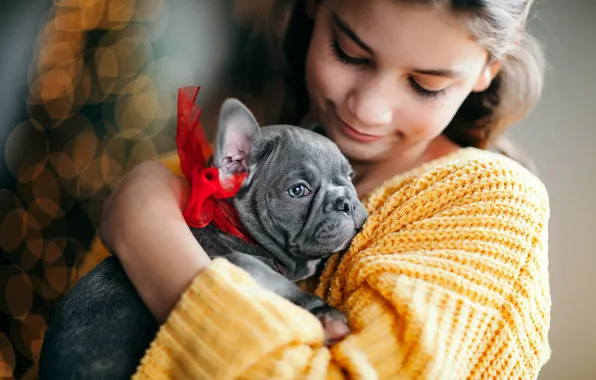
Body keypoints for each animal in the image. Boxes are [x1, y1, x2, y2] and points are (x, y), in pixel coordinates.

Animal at [38, 98, 368, 380]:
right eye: (299, 190)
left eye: (350, 176)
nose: (347, 201)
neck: (235, 227)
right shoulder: (238, 264)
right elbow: (283, 287)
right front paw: (325, 314)